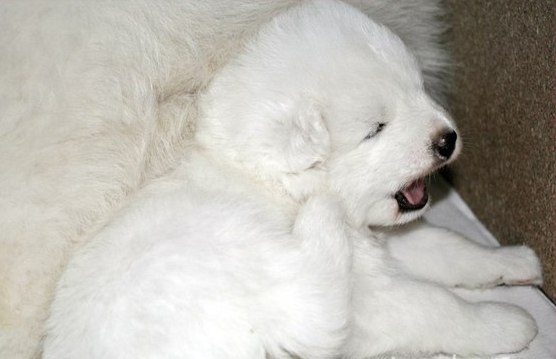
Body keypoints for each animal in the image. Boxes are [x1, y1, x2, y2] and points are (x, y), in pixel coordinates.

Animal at [44, 1, 544, 358]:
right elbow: (436, 305)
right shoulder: (369, 294)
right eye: (376, 128)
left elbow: (449, 246)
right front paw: (507, 324)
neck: (277, 183)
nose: (447, 139)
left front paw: (514, 259)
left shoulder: (383, 239)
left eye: (418, 89)